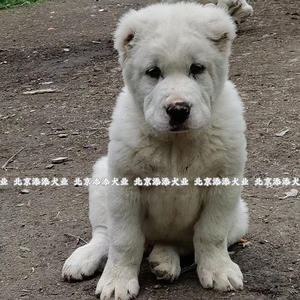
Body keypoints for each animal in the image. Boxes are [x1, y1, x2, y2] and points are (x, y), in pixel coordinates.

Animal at [62, 2, 248, 300]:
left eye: (197, 68)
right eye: (153, 72)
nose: (178, 109)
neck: (176, 143)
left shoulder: (224, 183)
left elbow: (210, 233)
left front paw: (218, 270)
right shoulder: (123, 184)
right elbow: (124, 240)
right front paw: (117, 281)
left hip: (240, 216)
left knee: (179, 243)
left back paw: (164, 260)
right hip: (101, 177)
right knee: (104, 234)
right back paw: (84, 258)